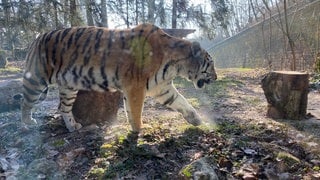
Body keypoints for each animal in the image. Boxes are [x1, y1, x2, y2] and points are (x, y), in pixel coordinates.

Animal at [21, 22, 218, 132]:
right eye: (211, 63)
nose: (216, 78)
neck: (175, 65)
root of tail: (37, 37)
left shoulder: (161, 87)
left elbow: (181, 101)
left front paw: (196, 119)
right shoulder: (136, 87)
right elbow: (136, 110)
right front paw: (139, 129)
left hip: (68, 87)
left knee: (63, 107)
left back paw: (72, 127)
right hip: (36, 80)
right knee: (26, 103)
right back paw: (28, 123)